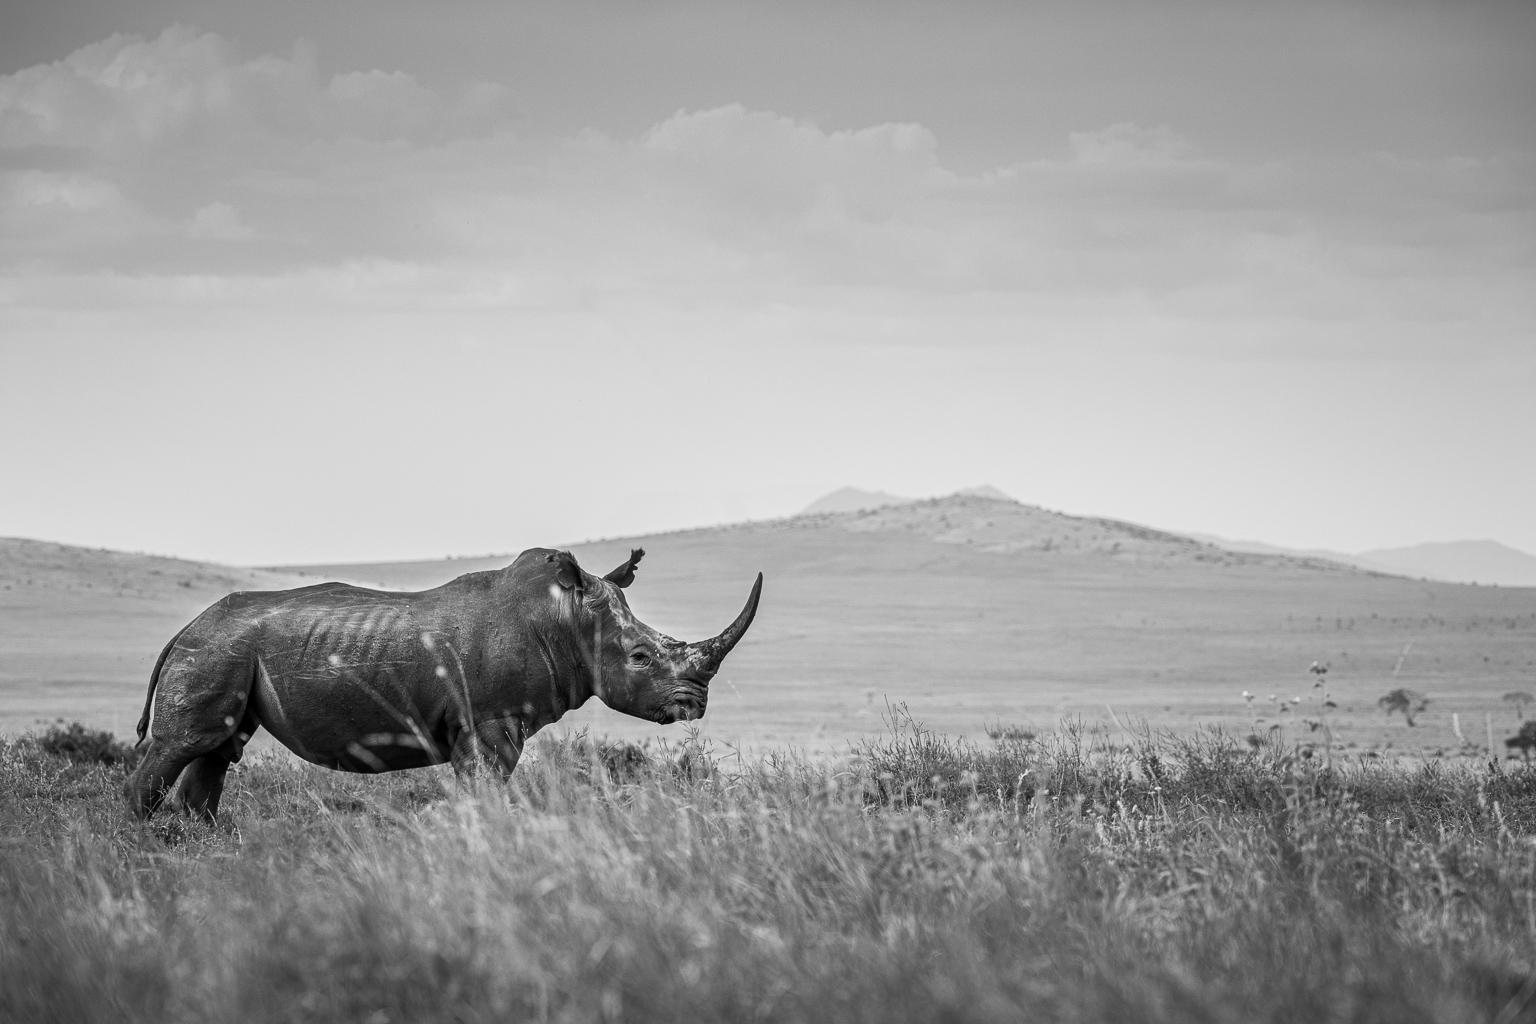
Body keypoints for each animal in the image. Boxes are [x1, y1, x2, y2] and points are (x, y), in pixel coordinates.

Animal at [123, 547, 761, 819]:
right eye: (639, 657)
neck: (566, 620)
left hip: (227, 649)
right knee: (187, 743)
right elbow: (485, 787)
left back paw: (196, 841)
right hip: (215, 650)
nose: (695, 705)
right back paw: (145, 841)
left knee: (218, 748)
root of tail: (187, 627)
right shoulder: (490, 721)